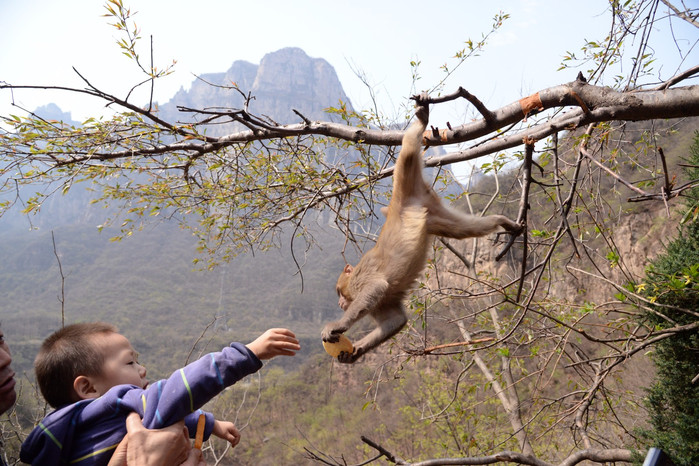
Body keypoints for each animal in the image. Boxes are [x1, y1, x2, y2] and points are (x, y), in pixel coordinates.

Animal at [320, 93, 524, 364]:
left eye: (339, 291)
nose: (342, 304)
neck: (353, 279)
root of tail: (409, 200)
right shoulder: (381, 303)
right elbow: (395, 321)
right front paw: (355, 352)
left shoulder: (361, 282)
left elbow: (376, 287)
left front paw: (338, 326)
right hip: (434, 216)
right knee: (465, 229)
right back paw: (502, 221)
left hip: (405, 180)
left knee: (407, 150)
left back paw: (421, 120)